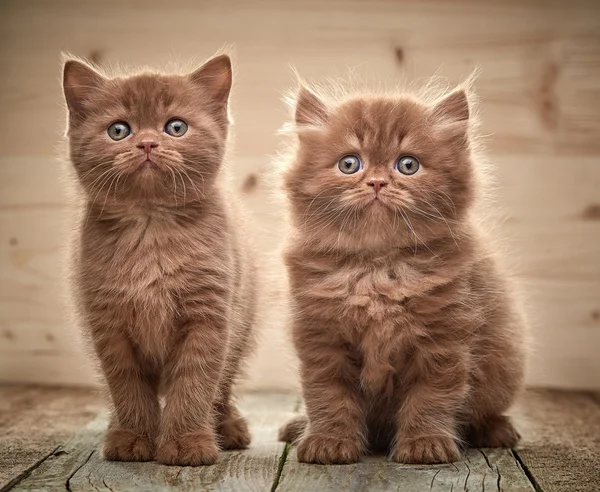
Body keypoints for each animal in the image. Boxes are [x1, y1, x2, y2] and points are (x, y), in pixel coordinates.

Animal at [62, 53, 256, 466]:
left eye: (176, 127)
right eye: (119, 130)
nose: (148, 143)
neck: (151, 227)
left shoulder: (209, 318)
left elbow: (195, 384)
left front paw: (186, 443)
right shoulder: (108, 323)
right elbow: (126, 386)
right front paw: (133, 437)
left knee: (223, 385)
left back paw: (228, 427)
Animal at [278, 80, 528, 466]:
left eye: (408, 164)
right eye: (349, 164)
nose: (377, 182)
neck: (377, 269)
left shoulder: (444, 340)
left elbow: (431, 397)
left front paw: (426, 444)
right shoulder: (322, 339)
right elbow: (328, 396)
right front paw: (328, 442)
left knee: (487, 409)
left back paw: (496, 431)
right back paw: (299, 425)